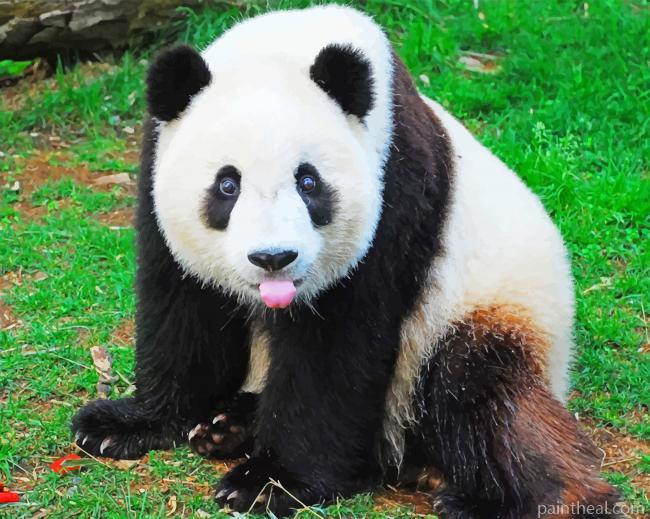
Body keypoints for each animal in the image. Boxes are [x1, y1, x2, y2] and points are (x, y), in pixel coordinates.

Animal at [72, 5, 622, 518]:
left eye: (308, 182)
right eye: (227, 184)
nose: (274, 258)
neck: (284, 45)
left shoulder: (395, 185)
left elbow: (339, 340)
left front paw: (269, 482)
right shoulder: (157, 165)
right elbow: (183, 305)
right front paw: (123, 424)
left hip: (482, 314)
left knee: (480, 395)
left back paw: (505, 498)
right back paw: (228, 427)